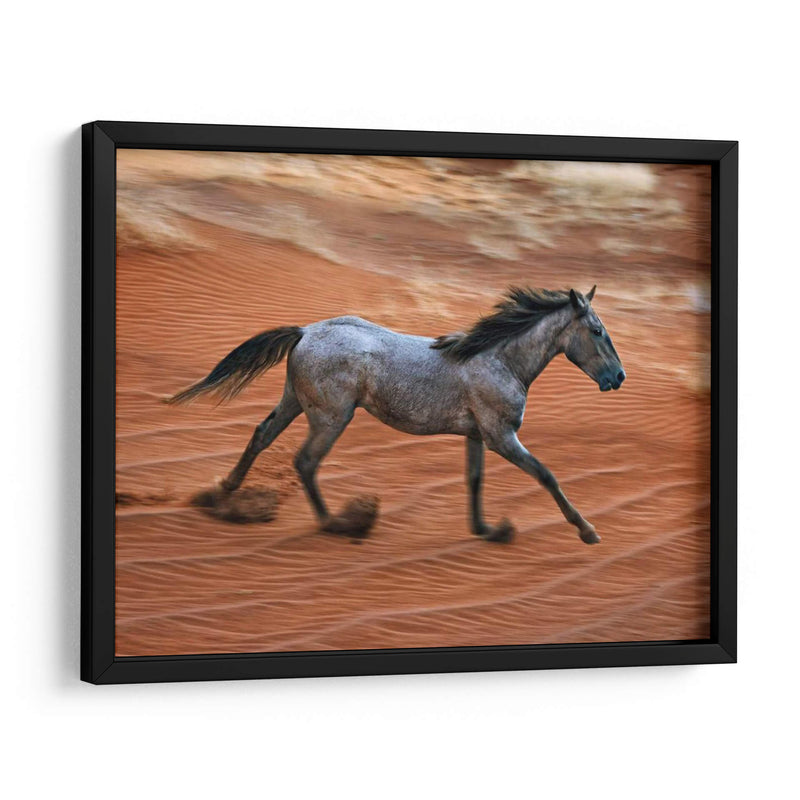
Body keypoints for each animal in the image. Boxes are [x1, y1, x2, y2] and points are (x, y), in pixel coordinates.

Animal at [167, 285, 625, 543]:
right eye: (597, 331)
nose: (618, 377)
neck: (500, 360)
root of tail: (306, 332)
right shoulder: (501, 436)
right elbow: (546, 474)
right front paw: (587, 531)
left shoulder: (477, 435)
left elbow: (474, 480)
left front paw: (487, 530)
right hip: (332, 417)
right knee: (305, 461)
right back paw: (336, 523)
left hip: (295, 401)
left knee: (262, 435)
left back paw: (223, 493)